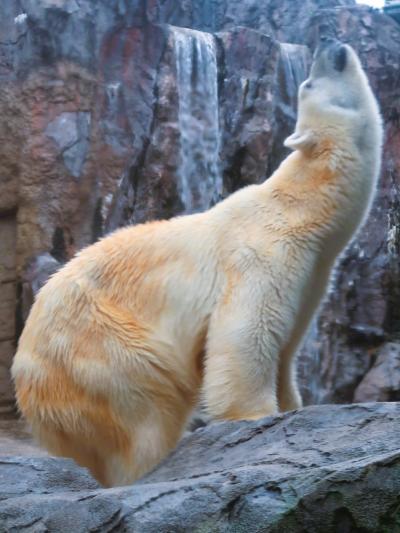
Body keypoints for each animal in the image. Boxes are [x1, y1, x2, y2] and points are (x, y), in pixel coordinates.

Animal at [10, 38, 382, 486]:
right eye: (307, 83)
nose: (329, 42)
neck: (298, 209)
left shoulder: (312, 277)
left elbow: (285, 352)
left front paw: (294, 407)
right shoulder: (260, 258)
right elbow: (245, 338)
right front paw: (255, 418)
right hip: (100, 350)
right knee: (144, 412)